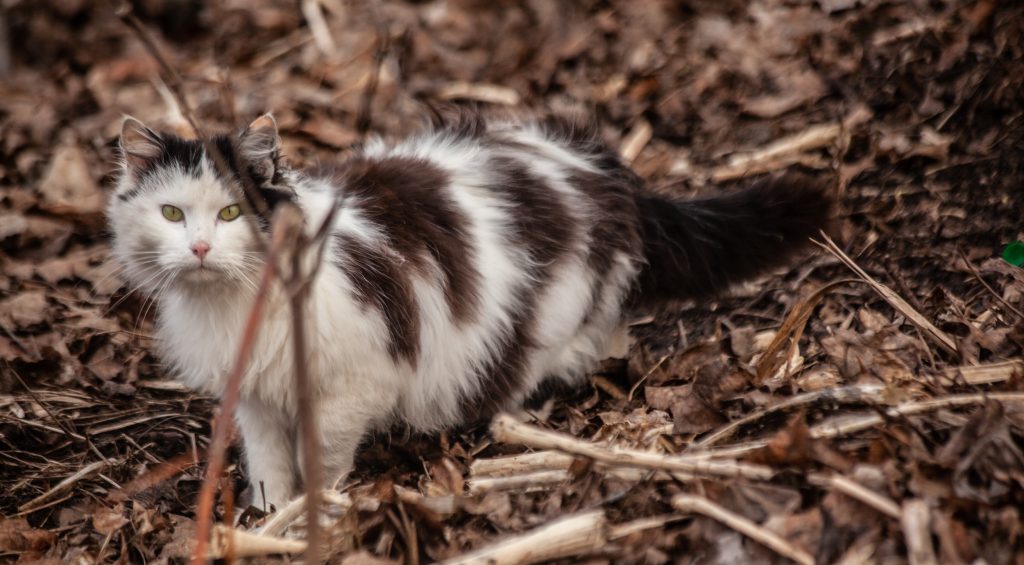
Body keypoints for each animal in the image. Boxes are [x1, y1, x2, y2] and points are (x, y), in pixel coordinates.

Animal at [108, 107, 835, 509]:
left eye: (232, 213)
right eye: (172, 214)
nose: (201, 246)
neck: (231, 304)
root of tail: (605, 169)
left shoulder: (351, 384)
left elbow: (326, 457)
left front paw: (316, 511)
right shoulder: (257, 395)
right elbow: (268, 463)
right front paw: (271, 517)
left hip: (557, 317)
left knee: (592, 344)